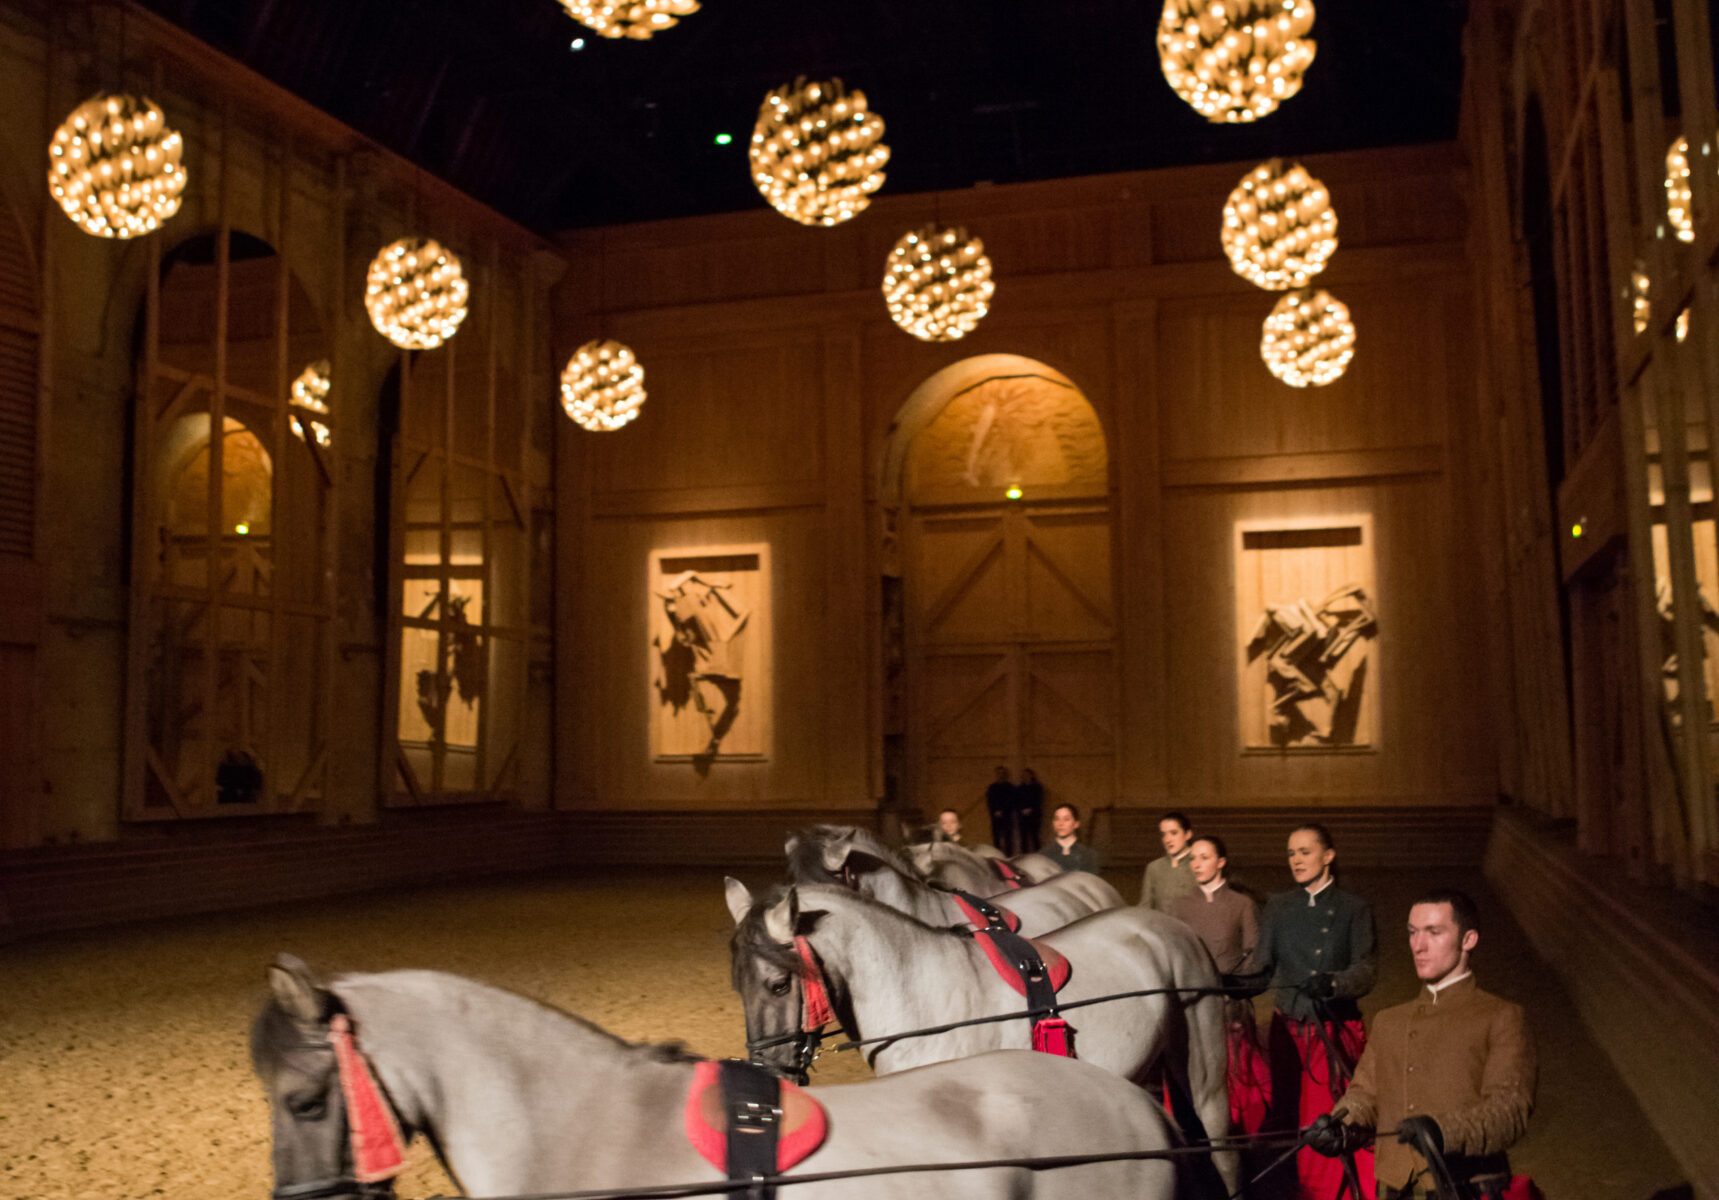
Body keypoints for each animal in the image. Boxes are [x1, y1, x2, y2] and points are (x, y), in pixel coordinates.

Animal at [725, 873, 1237, 1189]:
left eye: (778, 983)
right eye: (738, 984)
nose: (769, 1077)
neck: (920, 989)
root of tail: (1176, 929)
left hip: (1204, 1072)